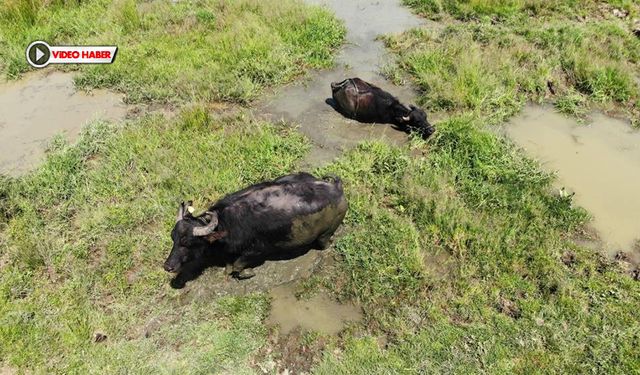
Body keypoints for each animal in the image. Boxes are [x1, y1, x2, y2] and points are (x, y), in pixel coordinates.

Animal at [162, 173, 348, 280]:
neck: (225, 224)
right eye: (173, 238)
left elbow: (238, 265)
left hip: (325, 235)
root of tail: (336, 187)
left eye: (187, 243)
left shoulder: (257, 251)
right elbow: (229, 266)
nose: (168, 266)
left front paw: (247, 272)